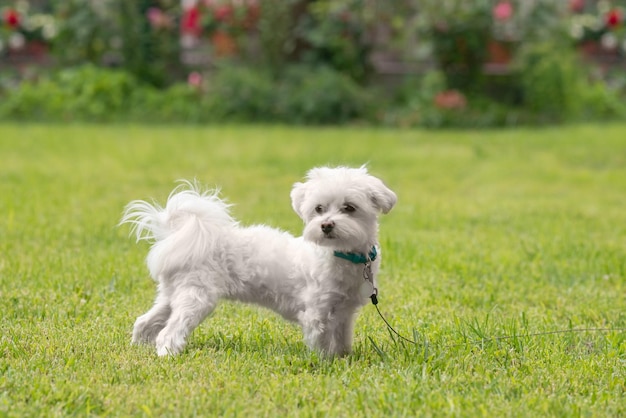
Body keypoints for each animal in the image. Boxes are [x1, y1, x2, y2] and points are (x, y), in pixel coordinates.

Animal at [120, 167, 394, 356]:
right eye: (318, 208)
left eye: (349, 208)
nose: (326, 225)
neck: (339, 255)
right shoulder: (316, 314)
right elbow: (322, 344)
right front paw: (325, 363)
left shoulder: (344, 314)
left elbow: (342, 341)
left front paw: (344, 359)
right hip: (196, 296)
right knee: (168, 331)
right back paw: (168, 353)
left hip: (172, 295)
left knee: (145, 321)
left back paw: (138, 346)